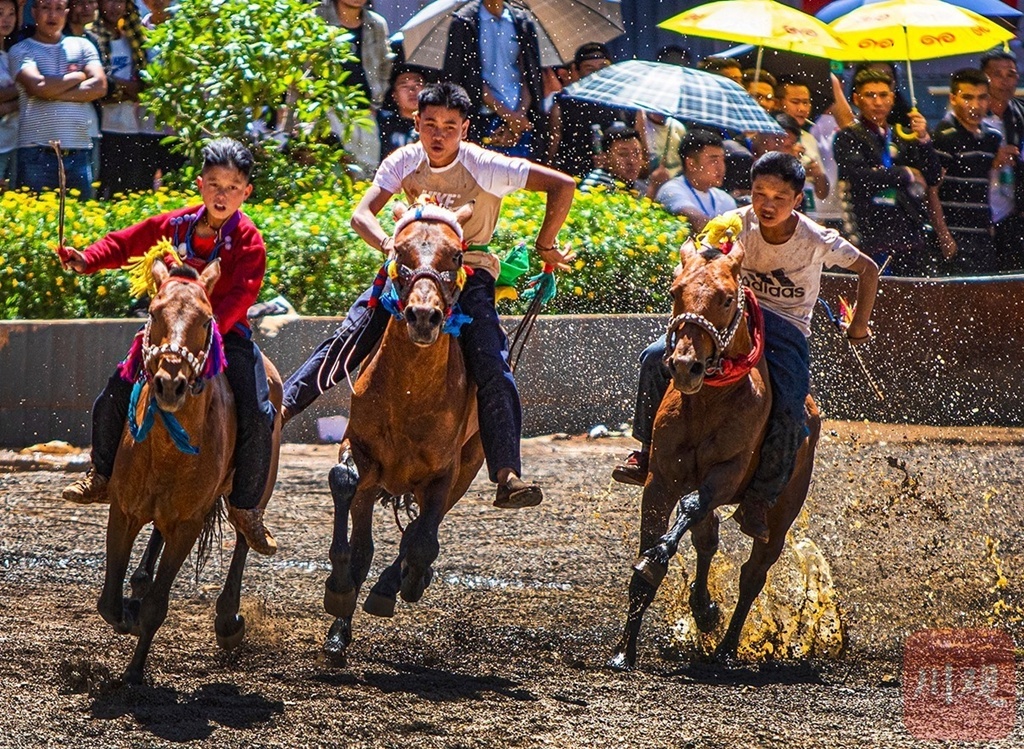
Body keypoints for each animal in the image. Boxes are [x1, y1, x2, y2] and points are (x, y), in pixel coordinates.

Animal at [98, 259, 282, 684]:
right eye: (153, 312)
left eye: (206, 319)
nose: (170, 383)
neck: (166, 450)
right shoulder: (124, 510)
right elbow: (109, 603)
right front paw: (128, 609)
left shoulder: (188, 525)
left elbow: (156, 607)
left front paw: (135, 670)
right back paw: (140, 581)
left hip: (257, 486)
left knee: (244, 535)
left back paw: (228, 620)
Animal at [323, 201, 483, 663]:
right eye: (399, 253)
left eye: (457, 256)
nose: (424, 316)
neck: (410, 393)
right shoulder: (359, 448)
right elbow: (343, 481)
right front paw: (338, 587)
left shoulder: (446, 472)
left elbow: (423, 540)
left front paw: (409, 580)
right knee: (365, 545)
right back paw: (340, 626)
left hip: (469, 466)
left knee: (418, 534)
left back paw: (395, 584)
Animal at [606, 238, 823, 668]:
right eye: (675, 292)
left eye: (725, 299)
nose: (684, 365)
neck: (709, 401)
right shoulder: (660, 479)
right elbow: (655, 551)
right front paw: (624, 651)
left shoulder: (726, 473)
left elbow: (691, 508)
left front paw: (658, 556)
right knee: (707, 540)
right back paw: (705, 611)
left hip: (782, 512)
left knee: (753, 573)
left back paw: (726, 649)